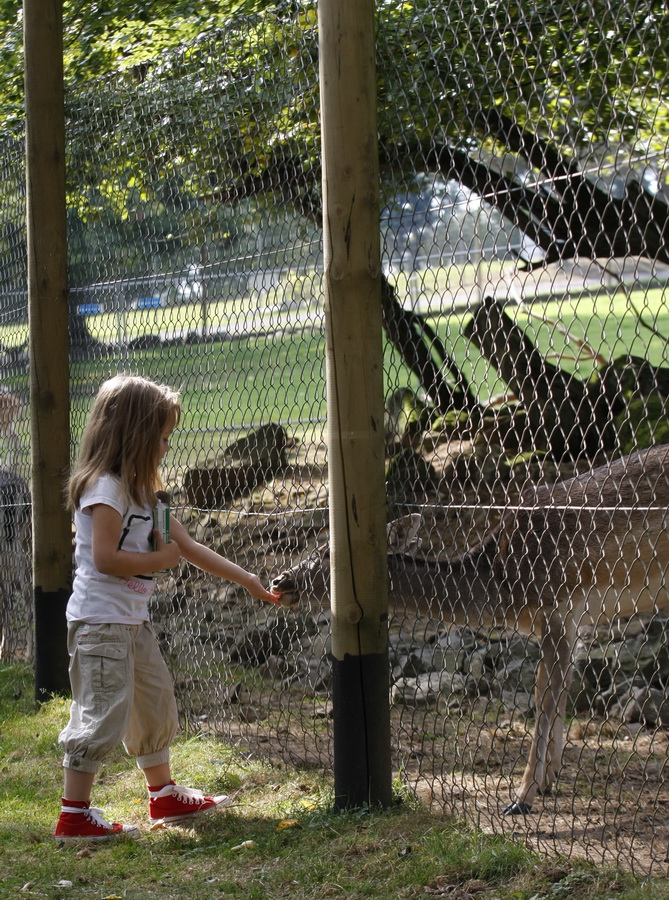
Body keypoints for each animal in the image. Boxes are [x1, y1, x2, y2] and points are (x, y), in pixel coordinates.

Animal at [270, 442, 668, 816]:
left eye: (330, 554)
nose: (279, 581)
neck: (506, 589)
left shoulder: (557, 604)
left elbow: (544, 697)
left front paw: (521, 797)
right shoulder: (573, 620)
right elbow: (560, 690)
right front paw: (549, 780)